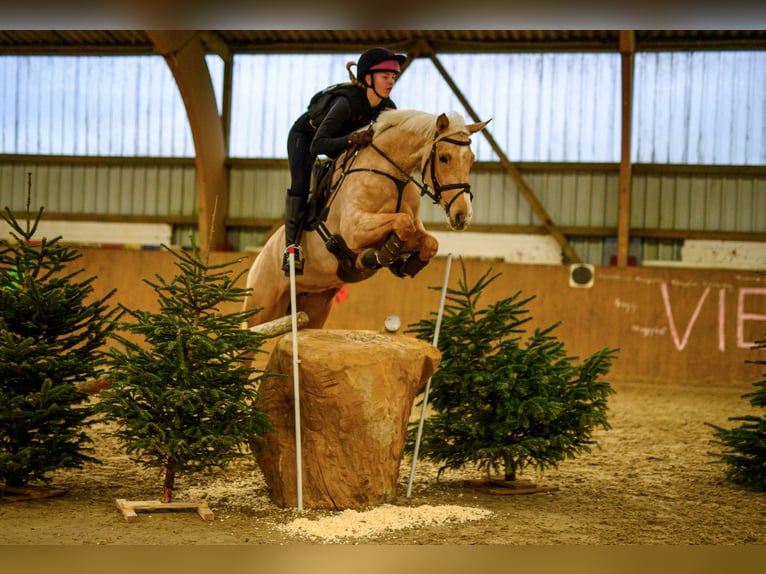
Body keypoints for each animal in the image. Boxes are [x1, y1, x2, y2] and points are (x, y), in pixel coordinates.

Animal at [242, 109, 492, 330]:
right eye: (443, 157)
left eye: (471, 159)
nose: (462, 215)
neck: (392, 173)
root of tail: (258, 258)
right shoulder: (355, 230)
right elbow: (402, 222)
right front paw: (375, 257)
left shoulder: (413, 228)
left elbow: (429, 241)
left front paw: (403, 264)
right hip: (262, 309)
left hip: (312, 310)